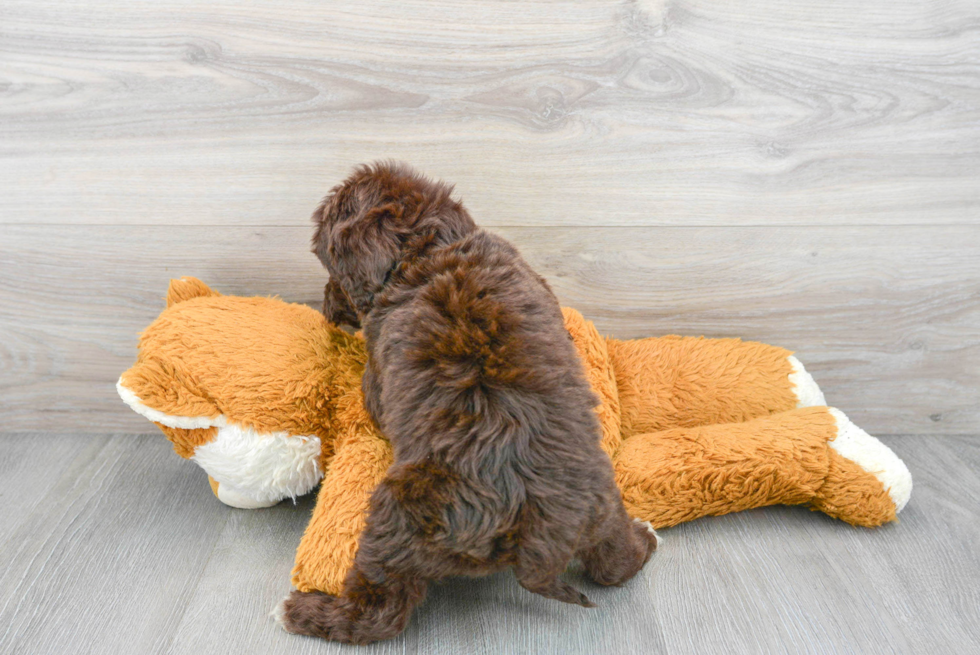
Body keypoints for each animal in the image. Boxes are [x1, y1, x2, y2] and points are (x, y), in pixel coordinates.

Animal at [280, 161, 656, 644]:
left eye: (328, 261)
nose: (326, 307)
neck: (432, 246)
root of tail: (532, 532)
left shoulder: (378, 374)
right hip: (602, 507)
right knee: (614, 564)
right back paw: (644, 541)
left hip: (397, 522)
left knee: (379, 612)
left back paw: (307, 611)